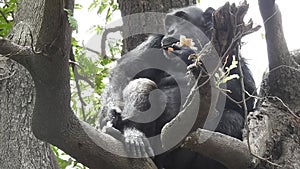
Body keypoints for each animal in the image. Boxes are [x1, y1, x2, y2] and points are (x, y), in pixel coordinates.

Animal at [98, 5, 255, 169]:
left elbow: (247, 99)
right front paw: (110, 113)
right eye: (169, 24)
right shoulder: (155, 41)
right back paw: (132, 134)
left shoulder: (234, 53)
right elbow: (126, 69)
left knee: (233, 117)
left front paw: (189, 54)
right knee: (144, 84)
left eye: (182, 19)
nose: (171, 30)